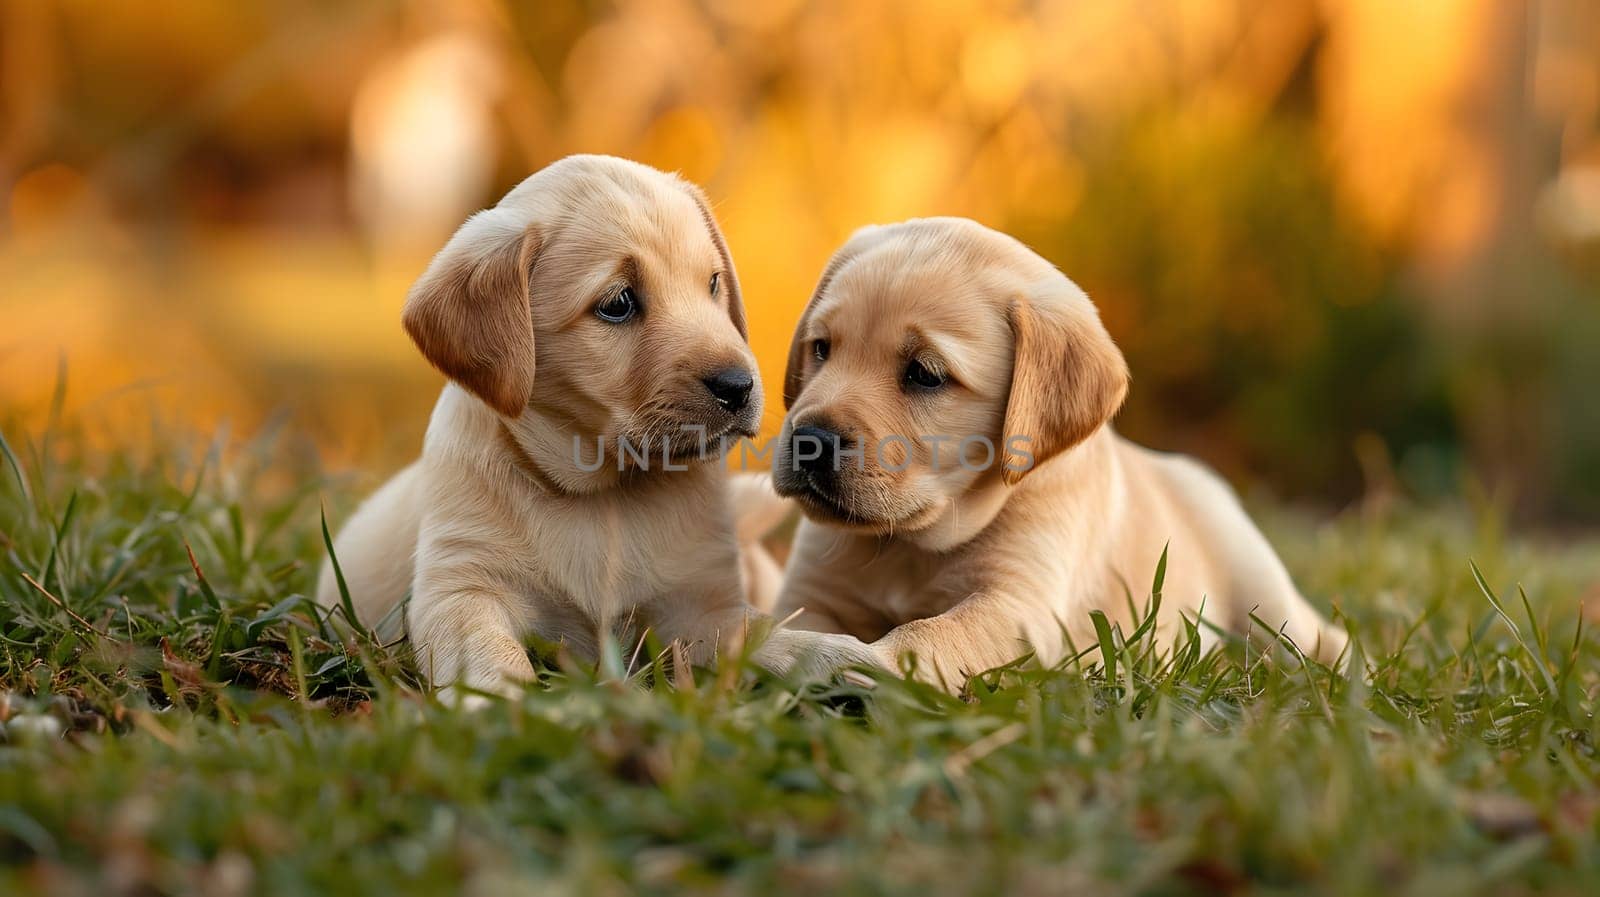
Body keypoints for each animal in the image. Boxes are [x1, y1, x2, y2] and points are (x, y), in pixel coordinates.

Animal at [315, 153, 876, 700]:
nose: (739, 386)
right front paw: (502, 701)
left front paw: (852, 660)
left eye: (713, 283)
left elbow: (776, 635)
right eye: (618, 303)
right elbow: (487, 654)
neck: (605, 497)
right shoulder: (461, 588)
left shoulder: (703, 610)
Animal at [768, 215, 1344, 684]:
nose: (810, 439)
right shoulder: (809, 593)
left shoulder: (1020, 609)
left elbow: (930, 634)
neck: (910, 546)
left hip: (1264, 594)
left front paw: (871, 664)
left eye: (925, 374)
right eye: (821, 348)